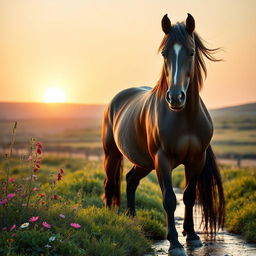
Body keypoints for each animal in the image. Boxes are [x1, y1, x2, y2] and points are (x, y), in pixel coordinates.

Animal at [101, 14, 224, 256]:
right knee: (110, 184)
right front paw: (175, 243)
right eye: (164, 53)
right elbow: (169, 199)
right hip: (113, 155)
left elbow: (188, 196)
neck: (185, 119)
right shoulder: (162, 159)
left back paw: (132, 218)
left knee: (130, 180)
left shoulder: (196, 159)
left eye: (191, 52)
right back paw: (110, 217)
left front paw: (192, 236)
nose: (175, 97)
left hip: (144, 162)